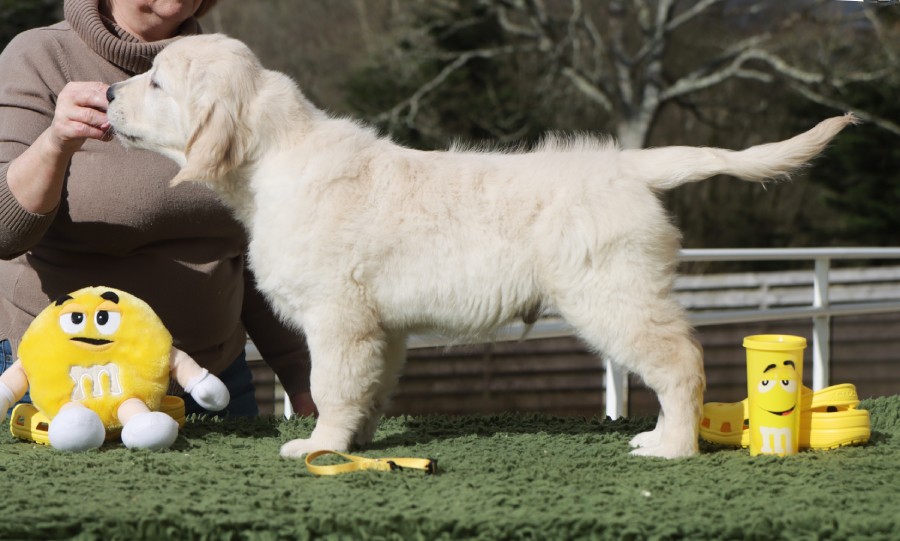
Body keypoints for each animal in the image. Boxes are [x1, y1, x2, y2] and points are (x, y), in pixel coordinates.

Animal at [106, 34, 854, 459]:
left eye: (158, 82)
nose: (109, 90)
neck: (274, 161)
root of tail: (628, 166)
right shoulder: (382, 325)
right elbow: (371, 387)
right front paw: (359, 441)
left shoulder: (338, 317)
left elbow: (331, 385)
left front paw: (319, 446)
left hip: (612, 293)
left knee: (680, 362)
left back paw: (669, 445)